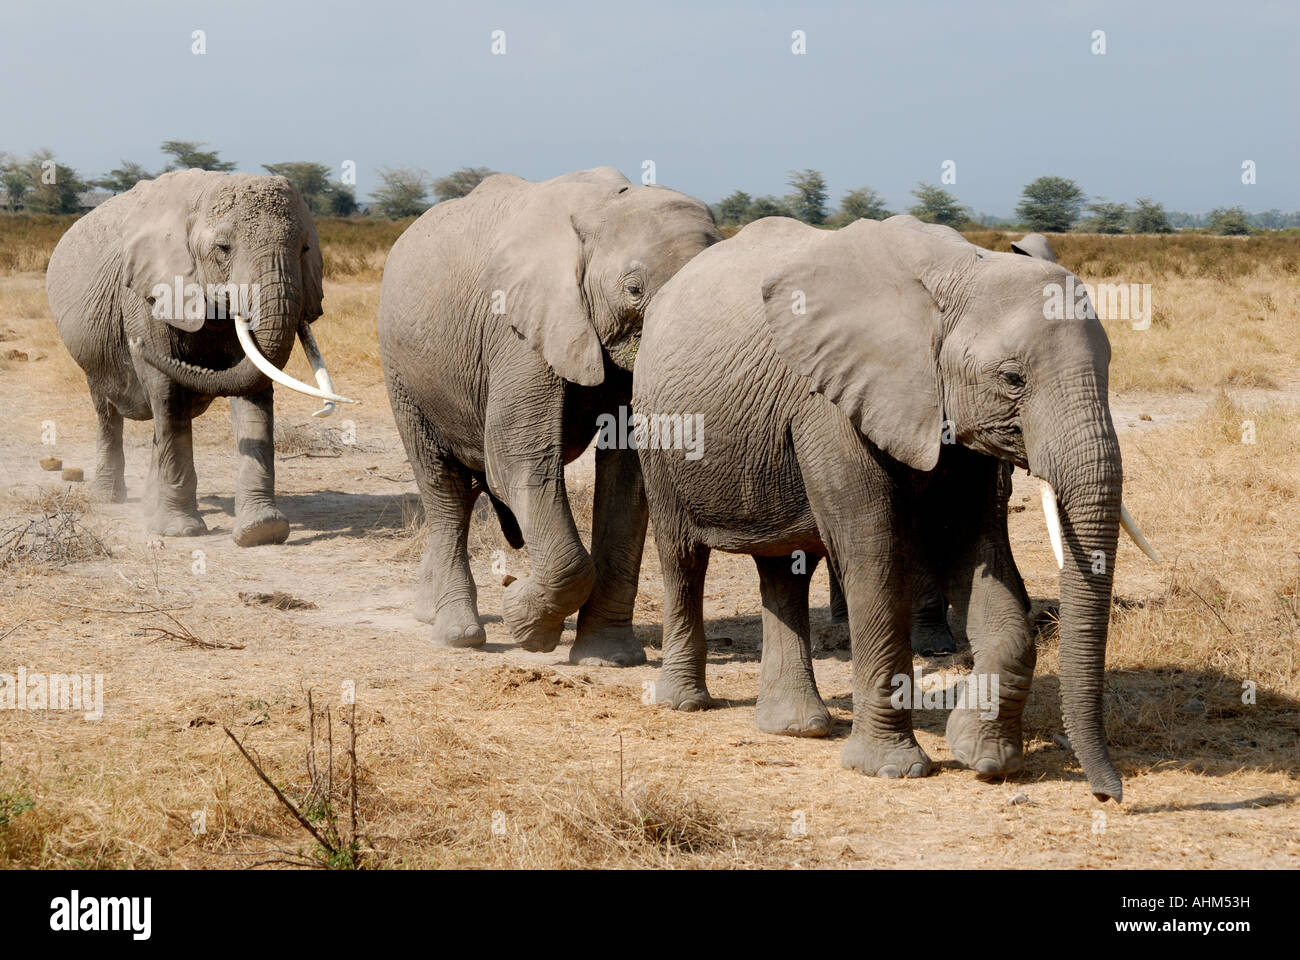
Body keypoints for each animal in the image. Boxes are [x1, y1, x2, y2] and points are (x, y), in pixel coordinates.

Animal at [46, 171, 353, 541]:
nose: (136, 347)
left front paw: (262, 531)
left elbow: (253, 387)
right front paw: (181, 531)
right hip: (93, 355)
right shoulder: (146, 296)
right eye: (223, 249)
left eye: (305, 249)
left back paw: (149, 506)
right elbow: (166, 389)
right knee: (110, 408)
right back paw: (109, 497)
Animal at [377, 164, 722, 660]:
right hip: (402, 372)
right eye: (633, 290)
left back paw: (431, 613)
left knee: (464, 492)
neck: (605, 207)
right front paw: (526, 624)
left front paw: (608, 657)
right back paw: (458, 635)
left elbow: (629, 475)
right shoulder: (518, 332)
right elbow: (519, 461)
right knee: (443, 484)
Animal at [634, 213, 1154, 796]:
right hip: (658, 430)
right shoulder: (832, 403)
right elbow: (873, 553)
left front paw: (985, 758)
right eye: (1012, 379)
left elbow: (966, 546)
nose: (1108, 794)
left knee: (783, 569)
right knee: (682, 558)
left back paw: (797, 728)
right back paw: (685, 703)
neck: (958, 271)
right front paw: (892, 768)